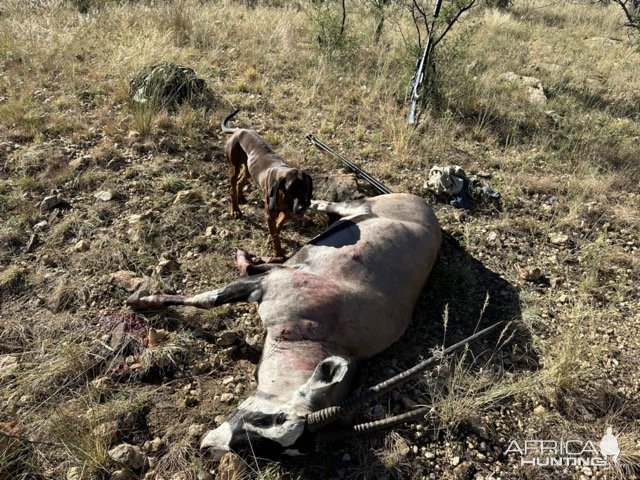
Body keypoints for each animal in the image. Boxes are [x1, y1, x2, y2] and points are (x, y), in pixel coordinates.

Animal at [221, 109, 314, 258]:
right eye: (292, 189)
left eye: (306, 188)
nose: (302, 208)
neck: (282, 195)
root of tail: (239, 130)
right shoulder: (270, 215)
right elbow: (275, 234)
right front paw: (279, 253)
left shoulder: (286, 212)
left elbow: (278, 226)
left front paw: (271, 241)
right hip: (234, 167)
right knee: (233, 187)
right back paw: (235, 209)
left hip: (249, 169)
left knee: (241, 182)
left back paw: (241, 197)